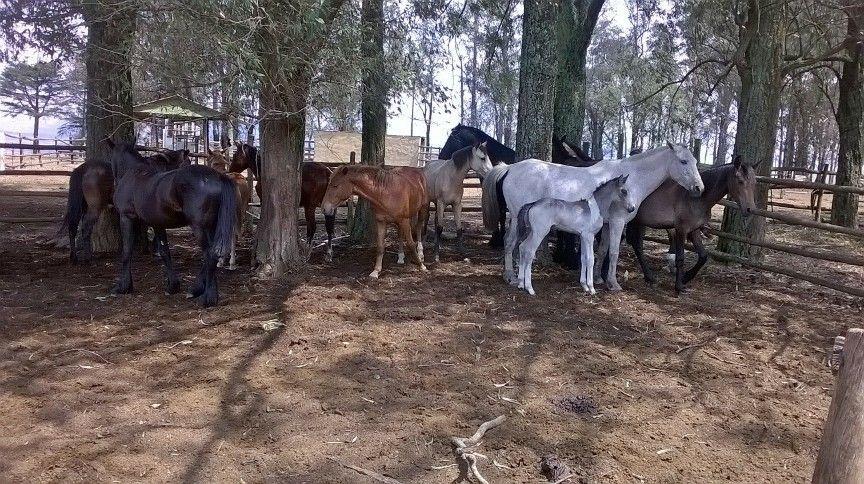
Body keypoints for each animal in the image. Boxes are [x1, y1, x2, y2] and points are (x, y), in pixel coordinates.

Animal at [107, 141, 236, 306]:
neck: (133, 174)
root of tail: (217, 177)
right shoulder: (157, 224)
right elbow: (164, 252)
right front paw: (173, 286)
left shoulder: (126, 218)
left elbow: (127, 252)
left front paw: (123, 287)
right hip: (213, 227)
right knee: (212, 255)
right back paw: (197, 290)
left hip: (200, 228)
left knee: (209, 255)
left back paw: (208, 298)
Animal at [482, 144, 704, 292]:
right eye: (683, 161)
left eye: (695, 162)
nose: (699, 188)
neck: (632, 178)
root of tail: (510, 168)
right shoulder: (617, 222)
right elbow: (613, 252)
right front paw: (613, 283)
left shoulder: (605, 225)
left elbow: (602, 250)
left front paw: (597, 279)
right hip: (516, 216)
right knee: (511, 242)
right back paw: (511, 277)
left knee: (512, 243)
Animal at [624, 156, 760, 292]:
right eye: (740, 181)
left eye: (754, 183)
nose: (750, 210)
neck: (695, 198)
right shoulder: (681, 229)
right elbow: (680, 258)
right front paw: (679, 286)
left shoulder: (694, 229)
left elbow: (703, 256)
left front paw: (686, 277)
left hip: (638, 222)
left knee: (637, 246)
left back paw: (649, 277)